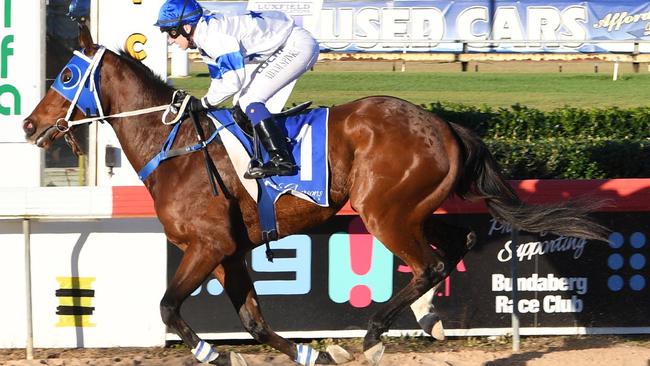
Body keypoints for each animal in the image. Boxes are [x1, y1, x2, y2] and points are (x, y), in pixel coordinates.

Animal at [22, 24, 604, 364]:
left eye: (67, 74)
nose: (29, 125)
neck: (177, 147)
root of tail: (443, 125)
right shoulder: (226, 253)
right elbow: (254, 322)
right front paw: (311, 353)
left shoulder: (208, 246)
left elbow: (168, 306)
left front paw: (213, 352)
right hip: (409, 208)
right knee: (453, 243)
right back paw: (426, 318)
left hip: (383, 212)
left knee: (431, 263)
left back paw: (374, 334)